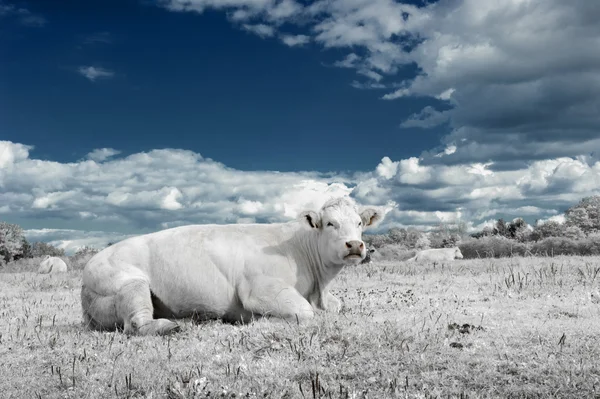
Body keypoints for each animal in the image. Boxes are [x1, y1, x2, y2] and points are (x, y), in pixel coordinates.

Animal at [79, 198, 382, 336]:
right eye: (330, 223)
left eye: (359, 223)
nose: (355, 245)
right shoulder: (260, 289)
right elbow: (304, 313)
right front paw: (259, 320)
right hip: (129, 283)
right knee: (136, 323)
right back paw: (170, 327)